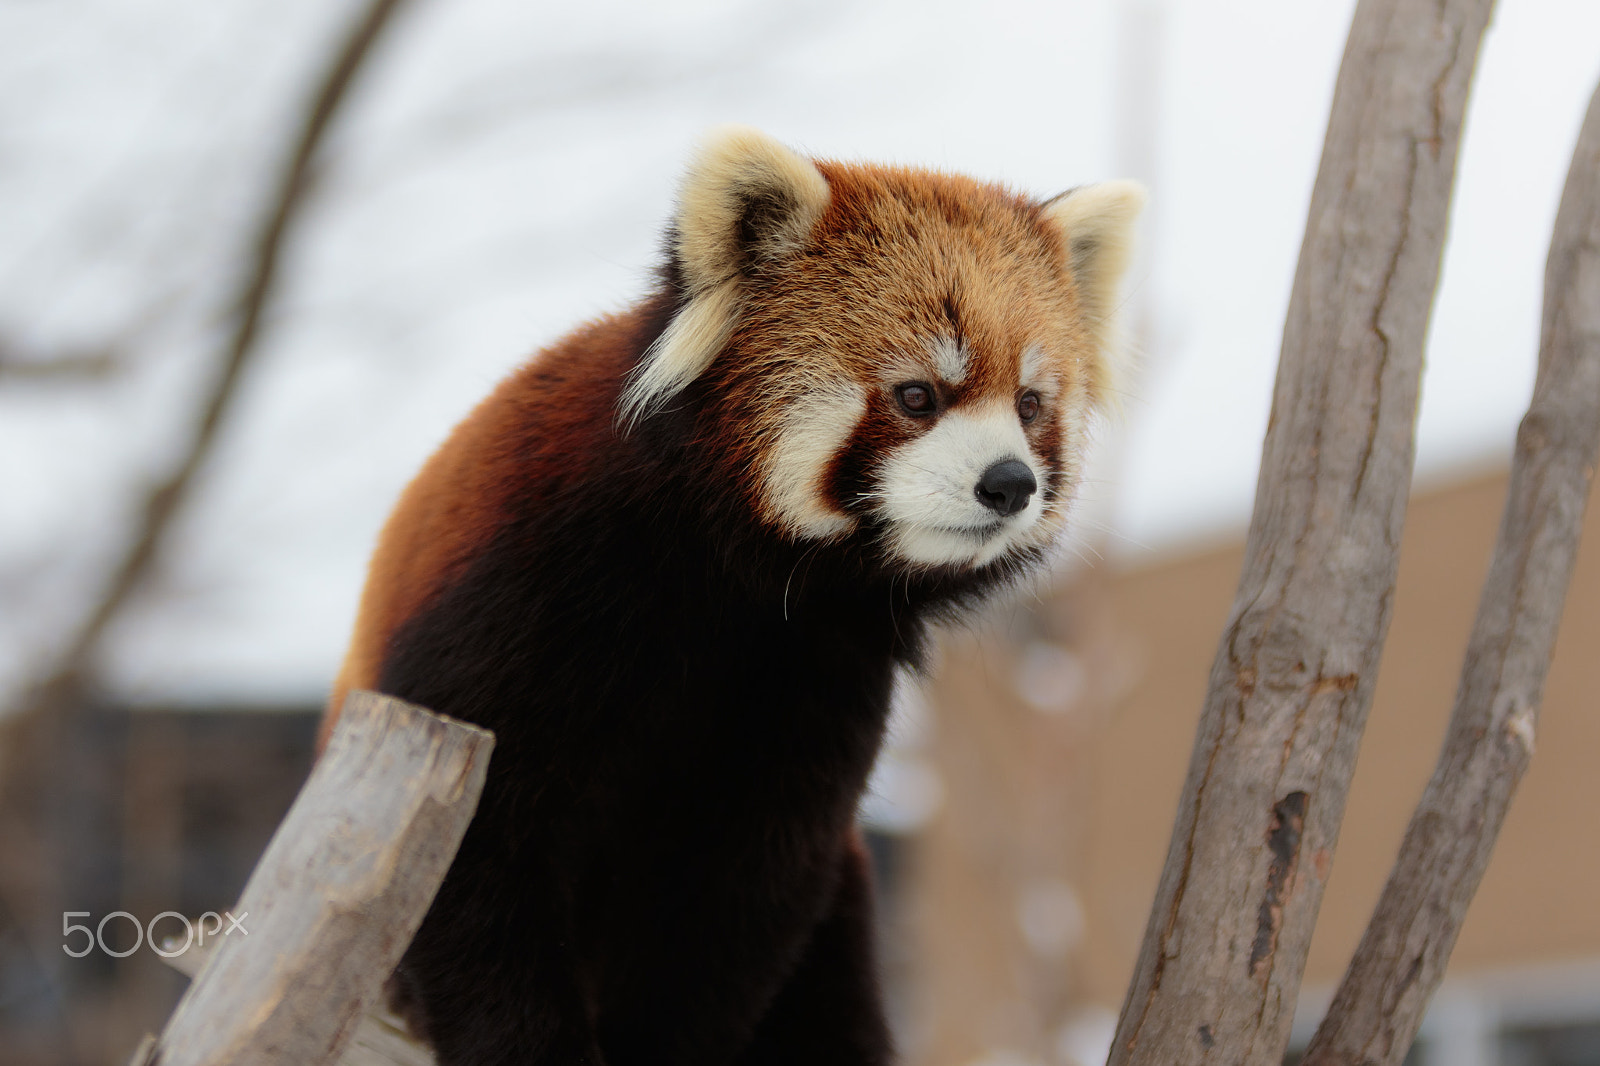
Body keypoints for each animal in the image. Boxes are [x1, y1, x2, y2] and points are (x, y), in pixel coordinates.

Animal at [323, 126, 1142, 1066]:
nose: (1010, 483)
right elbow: (480, 861)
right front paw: (528, 1042)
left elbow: (738, 906)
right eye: (917, 396)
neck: (742, 579)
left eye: (1031, 404)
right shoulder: (511, 607)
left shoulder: (815, 684)